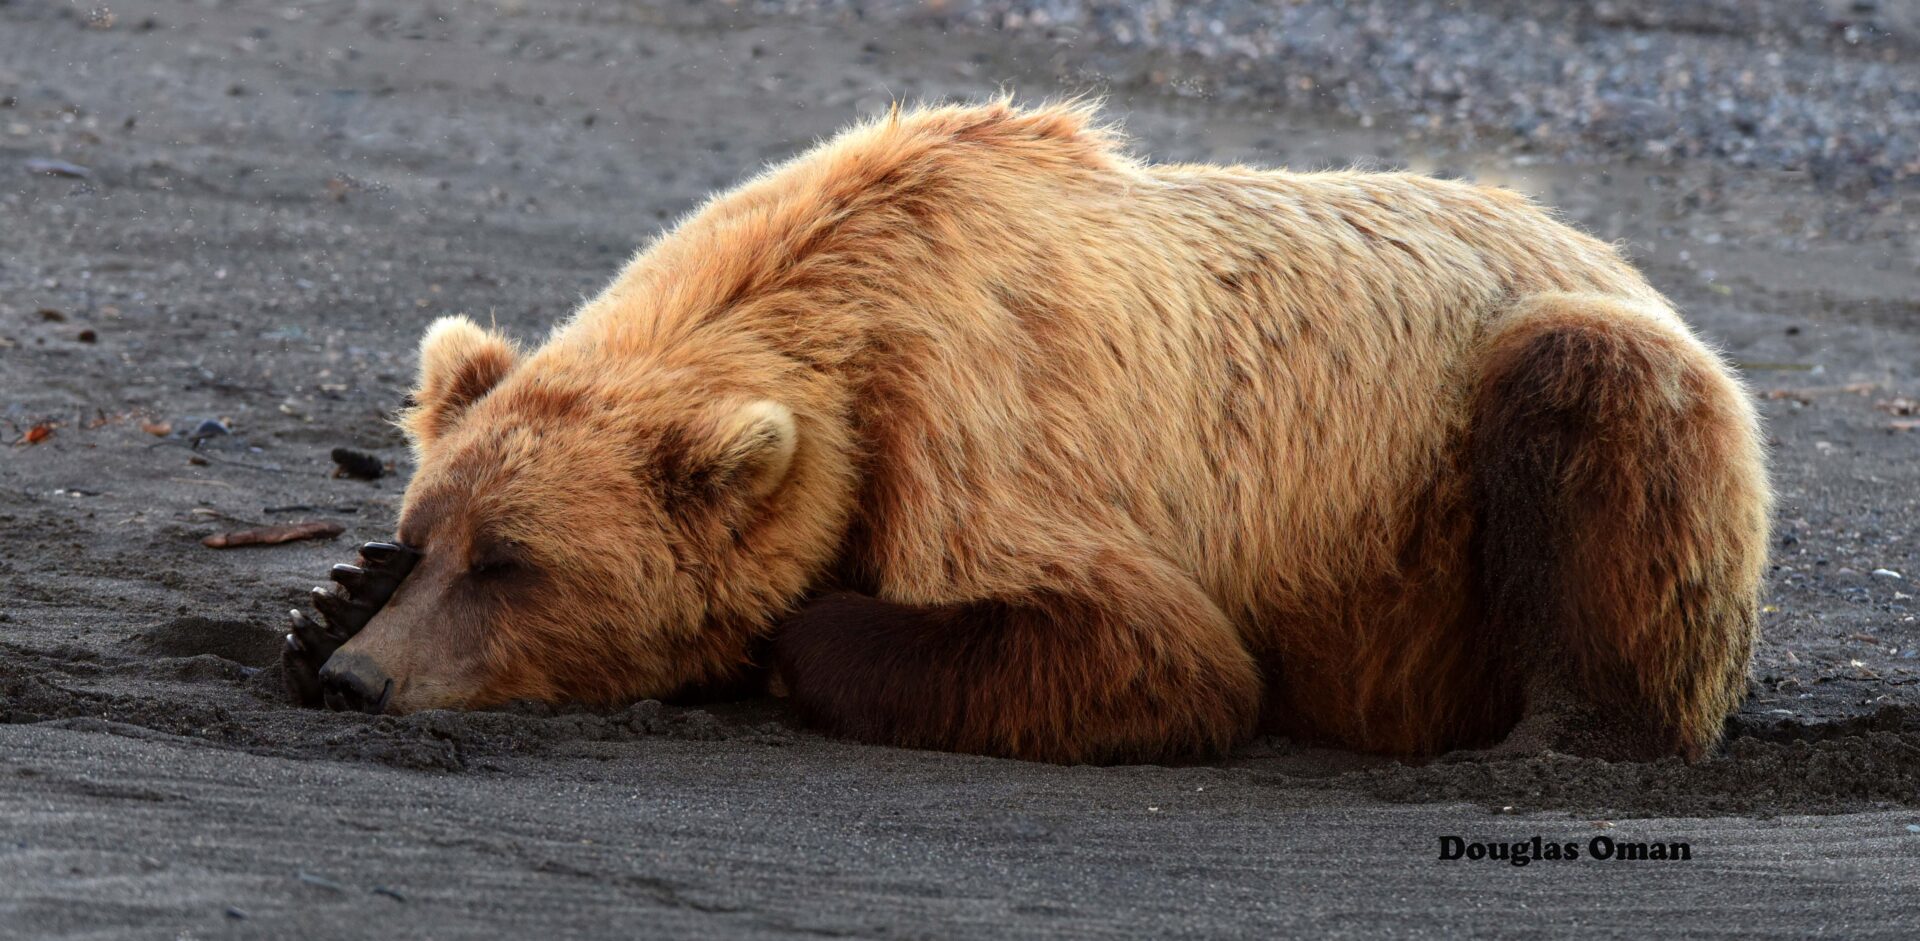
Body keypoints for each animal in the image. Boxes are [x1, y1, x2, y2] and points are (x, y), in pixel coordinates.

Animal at [284, 101, 1766, 764]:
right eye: (429, 535)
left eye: (515, 561)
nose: (362, 681)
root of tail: (1613, 247)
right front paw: (326, 596)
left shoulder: (986, 411)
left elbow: (1150, 650)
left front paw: (784, 640)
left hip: (1481, 478)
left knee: (1589, 390)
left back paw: (1562, 731)